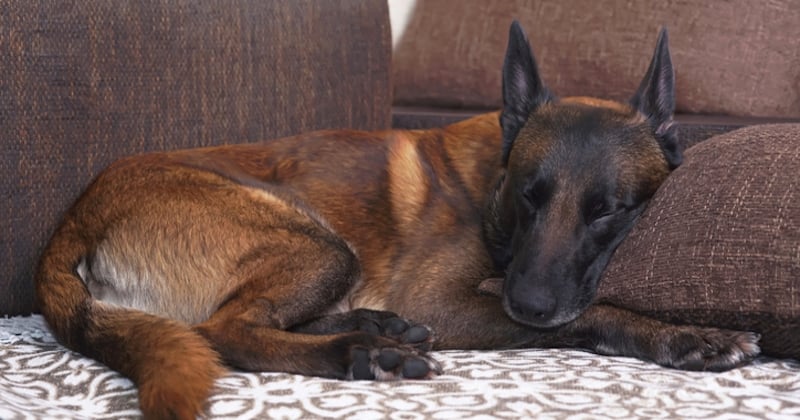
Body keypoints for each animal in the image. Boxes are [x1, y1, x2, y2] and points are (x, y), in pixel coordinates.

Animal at [36, 23, 764, 420]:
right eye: (528, 196)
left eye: (609, 211)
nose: (529, 304)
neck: (489, 189)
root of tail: (74, 216)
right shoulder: (445, 301)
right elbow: (595, 313)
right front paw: (684, 336)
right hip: (317, 243)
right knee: (225, 331)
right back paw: (362, 351)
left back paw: (375, 326)